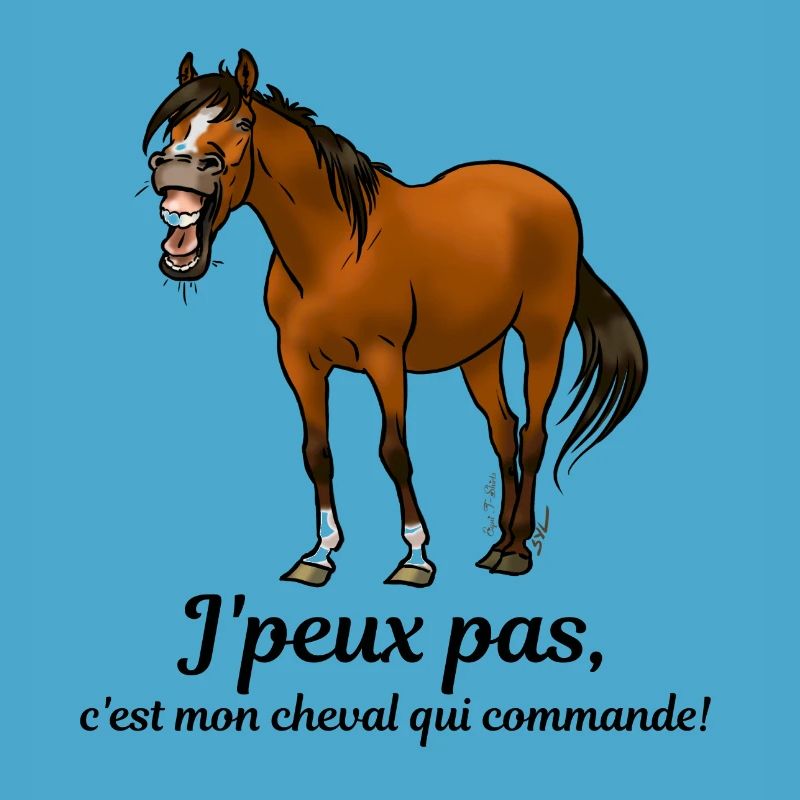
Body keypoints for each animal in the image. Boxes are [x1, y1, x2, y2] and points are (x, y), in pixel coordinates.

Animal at [144, 49, 648, 588]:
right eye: (175, 125)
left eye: (241, 122)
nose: (176, 166)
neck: (335, 251)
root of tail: (551, 193)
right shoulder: (300, 363)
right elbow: (317, 453)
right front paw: (319, 555)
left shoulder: (384, 359)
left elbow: (394, 452)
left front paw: (416, 557)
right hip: (481, 349)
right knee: (503, 428)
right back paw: (499, 544)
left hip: (542, 332)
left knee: (533, 433)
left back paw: (516, 552)